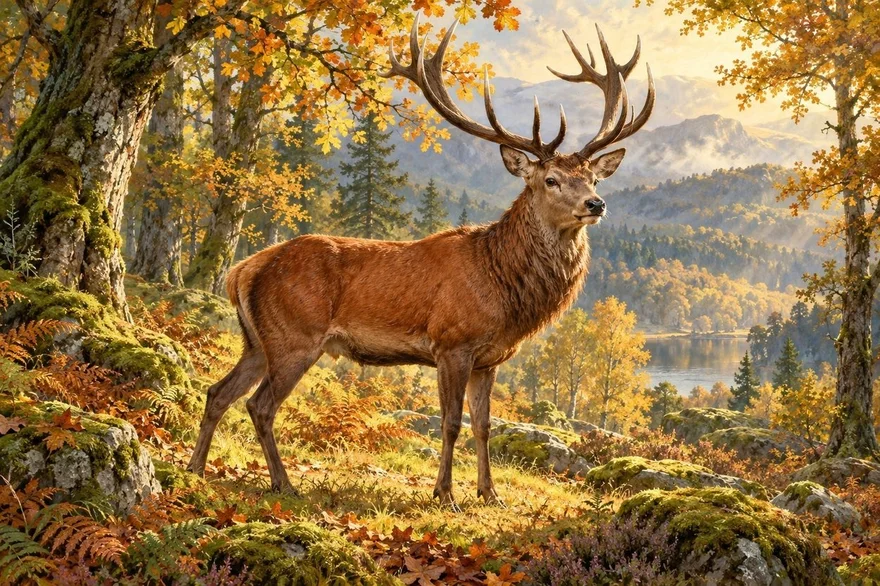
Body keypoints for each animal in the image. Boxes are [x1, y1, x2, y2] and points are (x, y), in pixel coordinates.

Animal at [187, 16, 654, 509]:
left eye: (593, 178)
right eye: (551, 180)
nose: (596, 204)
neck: (504, 289)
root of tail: (242, 271)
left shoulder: (490, 359)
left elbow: (484, 426)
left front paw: (490, 494)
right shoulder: (452, 343)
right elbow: (450, 424)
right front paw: (444, 494)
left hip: (258, 341)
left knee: (218, 391)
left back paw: (195, 467)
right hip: (295, 336)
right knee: (259, 405)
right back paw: (283, 482)